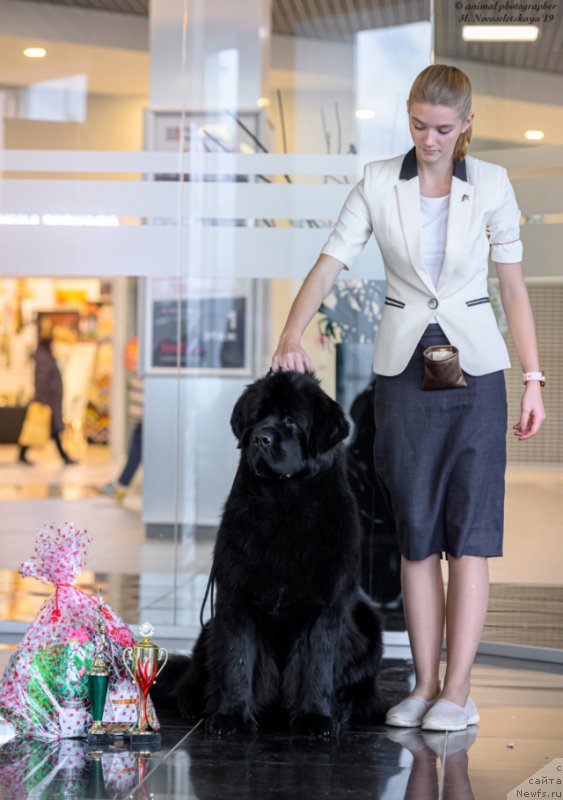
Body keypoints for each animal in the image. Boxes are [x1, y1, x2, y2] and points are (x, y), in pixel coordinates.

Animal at [159, 372, 388, 736]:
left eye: (291, 420)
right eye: (257, 418)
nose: (261, 438)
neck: (284, 501)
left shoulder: (326, 606)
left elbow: (317, 664)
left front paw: (316, 717)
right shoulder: (235, 597)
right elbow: (238, 659)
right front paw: (230, 716)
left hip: (368, 621)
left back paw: (349, 706)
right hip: (209, 629)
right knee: (192, 679)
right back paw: (196, 705)